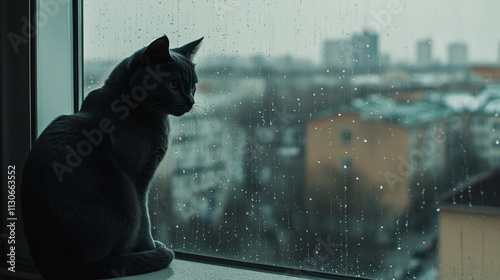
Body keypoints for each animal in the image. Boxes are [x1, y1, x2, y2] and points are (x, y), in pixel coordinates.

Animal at [21, 35, 201, 280]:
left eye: (193, 86)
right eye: (173, 84)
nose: (190, 101)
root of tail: (52, 261)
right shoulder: (139, 181)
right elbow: (145, 220)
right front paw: (150, 247)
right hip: (125, 201)